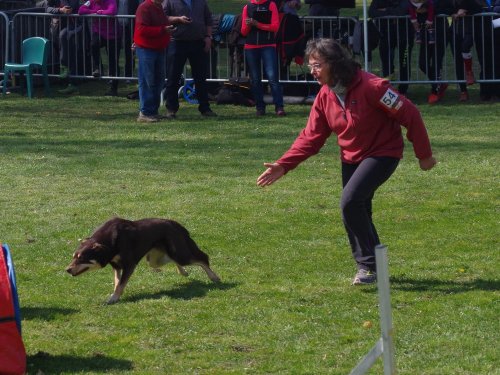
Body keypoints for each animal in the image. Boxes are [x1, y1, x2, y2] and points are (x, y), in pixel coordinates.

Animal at [66, 219, 221, 304]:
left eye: (81, 258)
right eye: (74, 256)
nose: (67, 270)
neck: (108, 241)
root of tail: (176, 225)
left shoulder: (129, 264)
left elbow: (121, 284)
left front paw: (113, 299)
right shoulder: (116, 266)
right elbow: (117, 282)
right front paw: (115, 295)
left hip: (180, 254)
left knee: (203, 258)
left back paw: (214, 277)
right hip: (155, 260)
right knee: (172, 260)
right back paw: (183, 272)